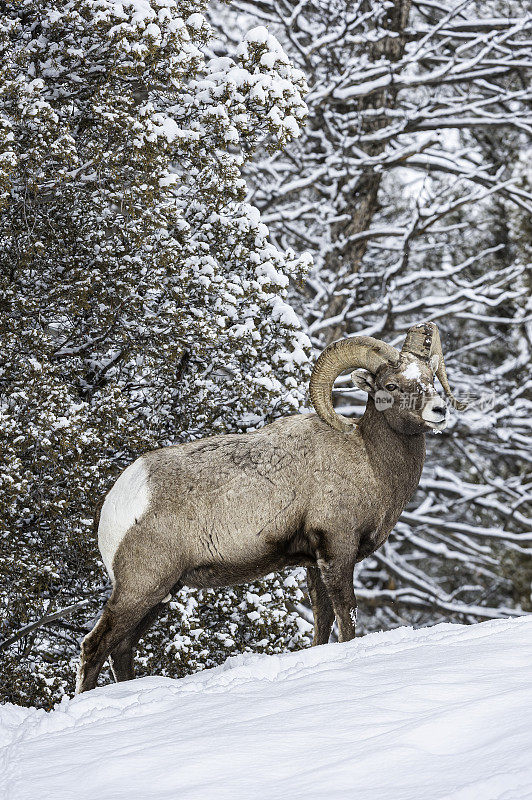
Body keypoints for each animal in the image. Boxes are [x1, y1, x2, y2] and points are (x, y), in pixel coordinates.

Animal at [76, 322, 466, 692]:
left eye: (431, 379)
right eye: (392, 385)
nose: (439, 411)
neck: (368, 458)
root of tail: (118, 501)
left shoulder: (314, 563)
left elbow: (323, 621)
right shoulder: (338, 550)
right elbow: (346, 615)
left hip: (160, 593)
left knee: (122, 649)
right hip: (142, 588)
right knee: (95, 646)